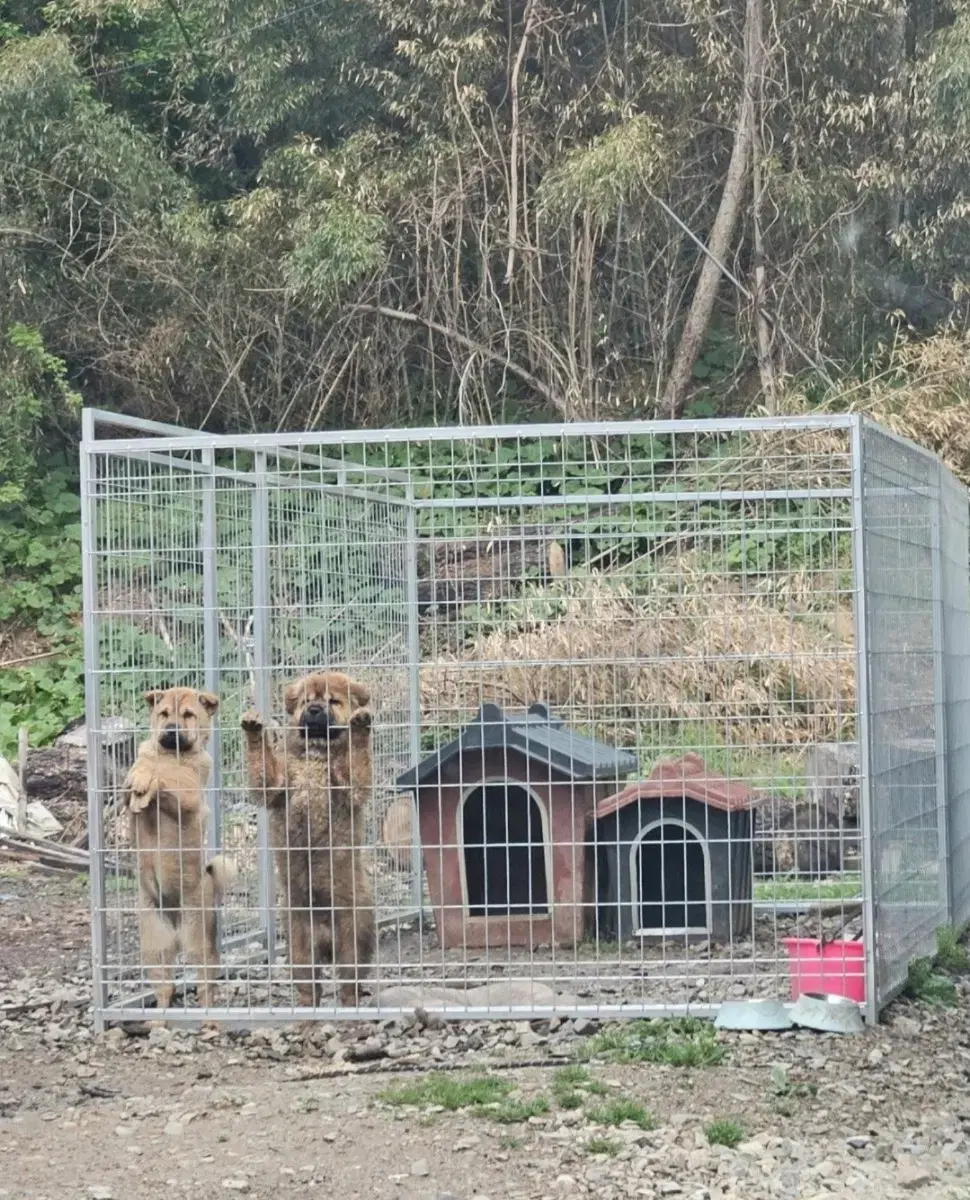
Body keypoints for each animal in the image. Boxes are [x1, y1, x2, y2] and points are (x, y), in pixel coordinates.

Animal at [123, 686, 236, 1012]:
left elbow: (167, 782)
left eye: (187, 715)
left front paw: (150, 784)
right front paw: (140, 783)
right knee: (165, 988)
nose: (172, 729)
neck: (170, 756)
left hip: (198, 940)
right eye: (163, 714)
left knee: (206, 985)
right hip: (154, 948)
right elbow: (138, 773)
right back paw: (158, 1018)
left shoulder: (188, 795)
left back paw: (209, 1017)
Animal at [240, 672, 376, 1008]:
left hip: (352, 938)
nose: (314, 710)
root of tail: (326, 939)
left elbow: (357, 758)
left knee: (349, 984)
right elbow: (263, 764)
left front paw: (360, 724)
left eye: (332, 701)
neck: (315, 753)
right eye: (306, 701)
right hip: (299, 945)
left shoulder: (349, 784)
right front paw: (253, 726)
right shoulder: (276, 784)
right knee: (308, 987)